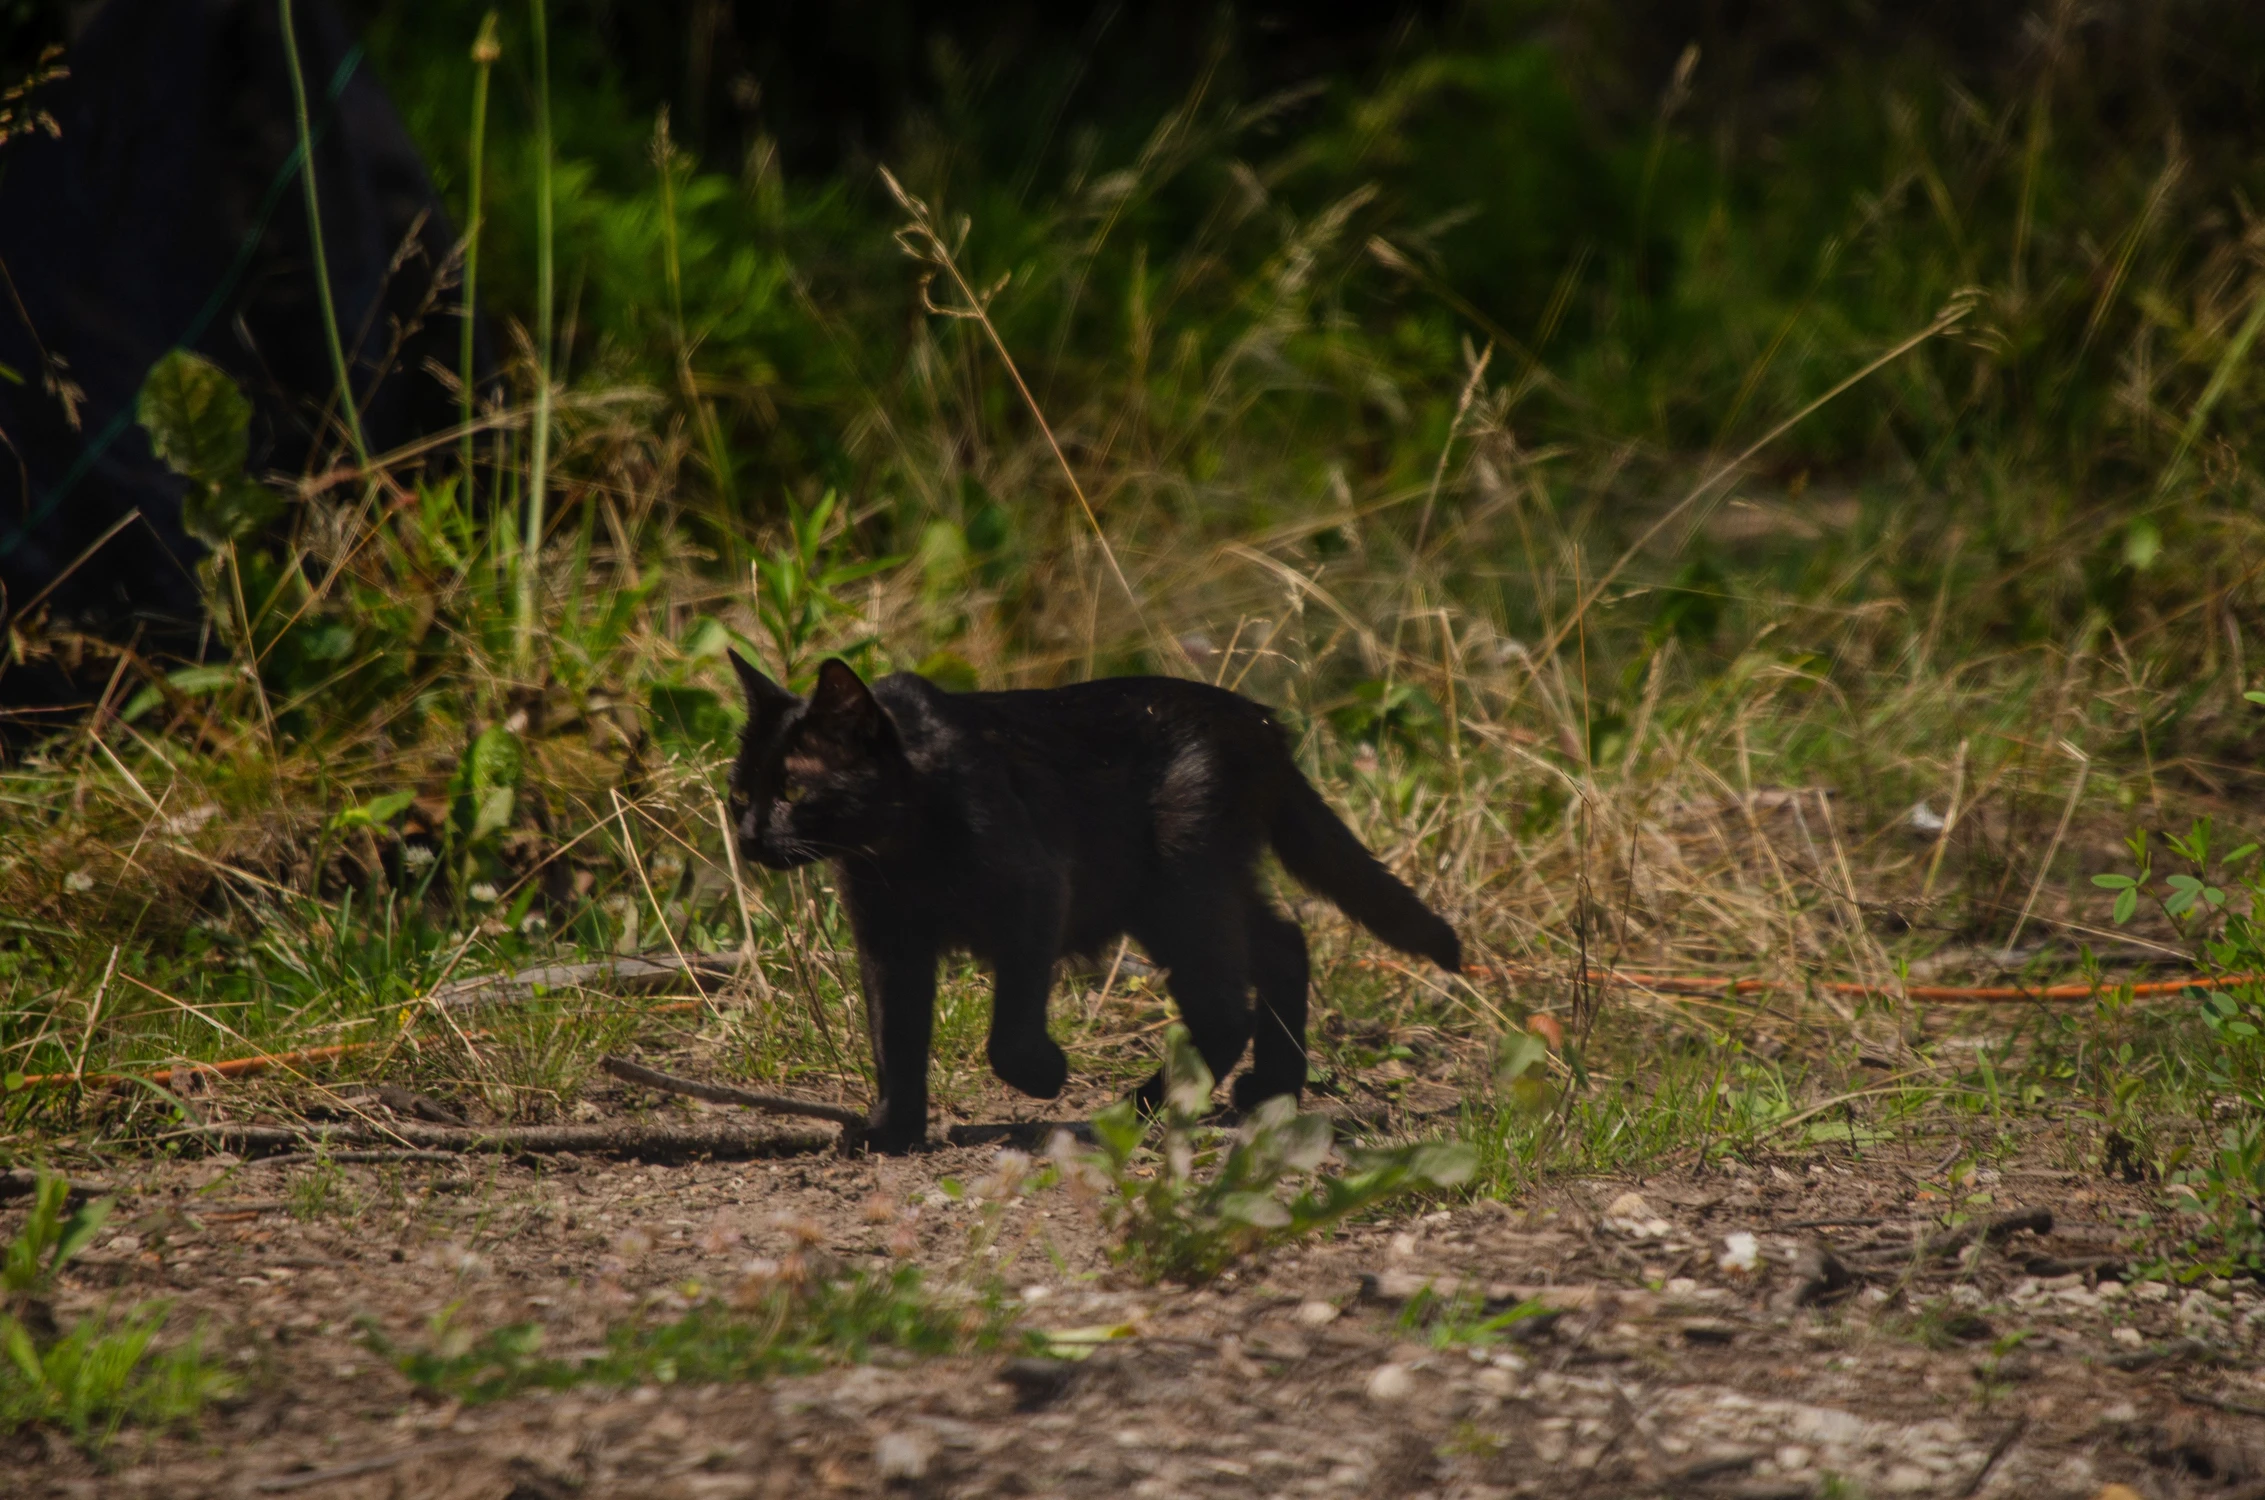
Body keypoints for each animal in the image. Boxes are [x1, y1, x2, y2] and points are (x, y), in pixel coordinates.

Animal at [729, 652, 1467, 1155]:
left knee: (1225, 1007)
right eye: (739, 793)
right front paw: (893, 1130)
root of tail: (1261, 722)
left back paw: (1133, 1108)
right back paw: (1271, 1089)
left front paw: (1044, 1075)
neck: (898, 849)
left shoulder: (1036, 894)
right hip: (1193, 890)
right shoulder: (888, 943)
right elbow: (895, 1034)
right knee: (1285, 945)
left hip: (1179, 886)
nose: (751, 835)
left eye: (794, 791)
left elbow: (1008, 1033)